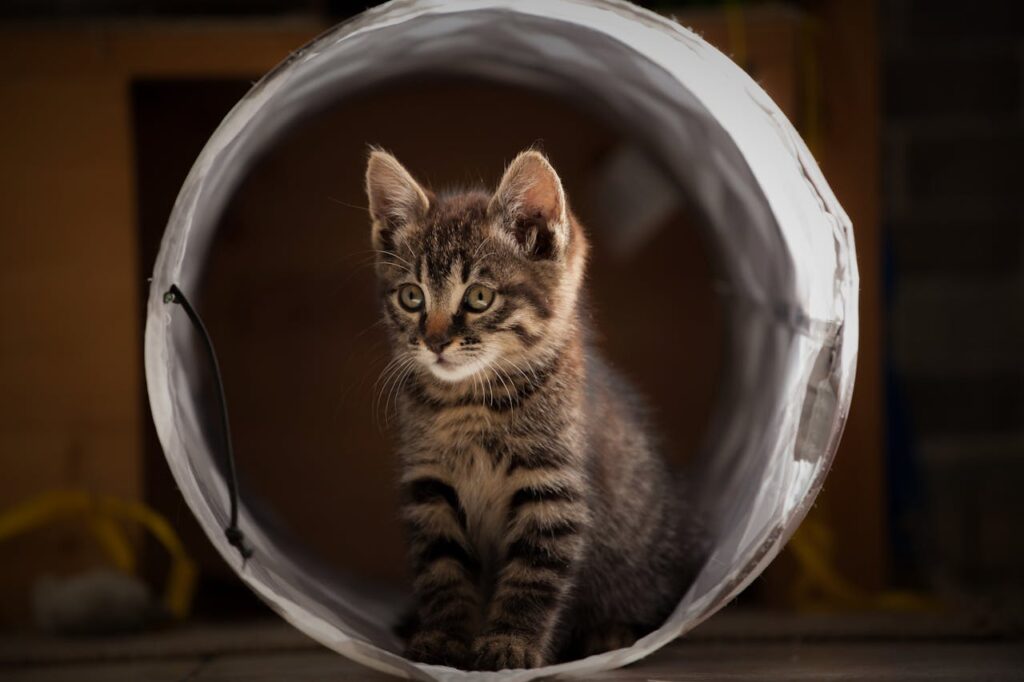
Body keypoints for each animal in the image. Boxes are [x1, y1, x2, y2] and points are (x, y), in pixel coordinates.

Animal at [366, 150, 696, 667]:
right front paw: (441, 637)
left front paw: (509, 643)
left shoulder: (552, 489)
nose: (434, 342)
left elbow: (532, 577)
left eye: (479, 297)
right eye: (411, 296)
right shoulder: (430, 485)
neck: (470, 403)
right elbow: (442, 572)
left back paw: (612, 633)